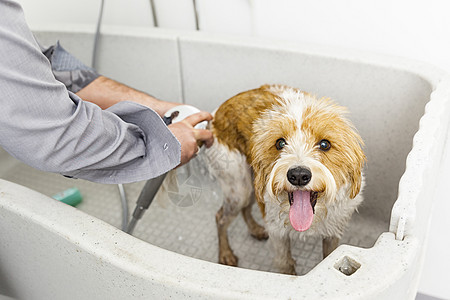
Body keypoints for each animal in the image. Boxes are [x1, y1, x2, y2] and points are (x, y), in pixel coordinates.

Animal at [205, 84, 366, 274]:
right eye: (280, 143)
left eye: (325, 144)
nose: (298, 175)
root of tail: (216, 114)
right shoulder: (278, 234)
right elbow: (286, 265)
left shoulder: (333, 229)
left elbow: (328, 255)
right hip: (239, 188)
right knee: (220, 217)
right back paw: (225, 254)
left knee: (244, 209)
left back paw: (255, 229)